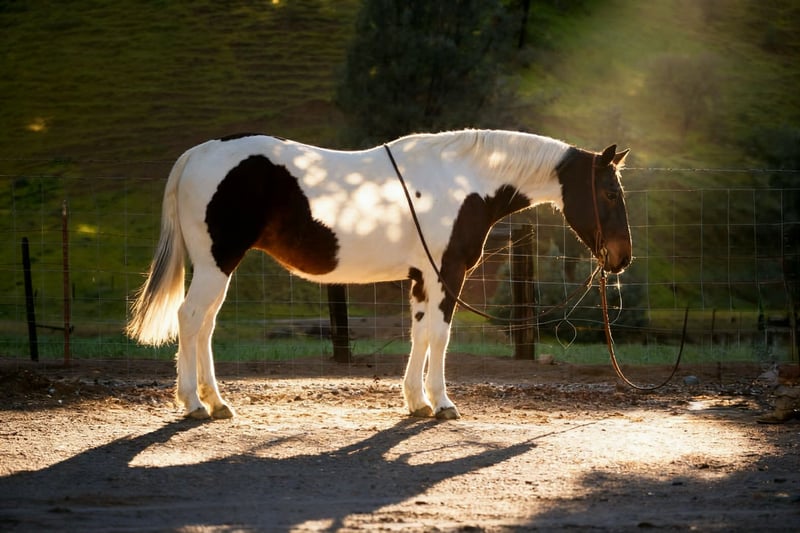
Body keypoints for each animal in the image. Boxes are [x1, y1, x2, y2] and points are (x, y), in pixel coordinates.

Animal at [126, 129, 631, 420]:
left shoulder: (423, 279)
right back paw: (194, 403)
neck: (461, 181)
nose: (622, 258)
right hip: (217, 264)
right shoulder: (446, 275)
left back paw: (215, 401)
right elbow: (439, 336)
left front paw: (416, 401)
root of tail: (199, 153)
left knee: (205, 325)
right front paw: (441, 403)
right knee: (191, 319)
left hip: (217, 268)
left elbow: (419, 333)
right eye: (609, 192)